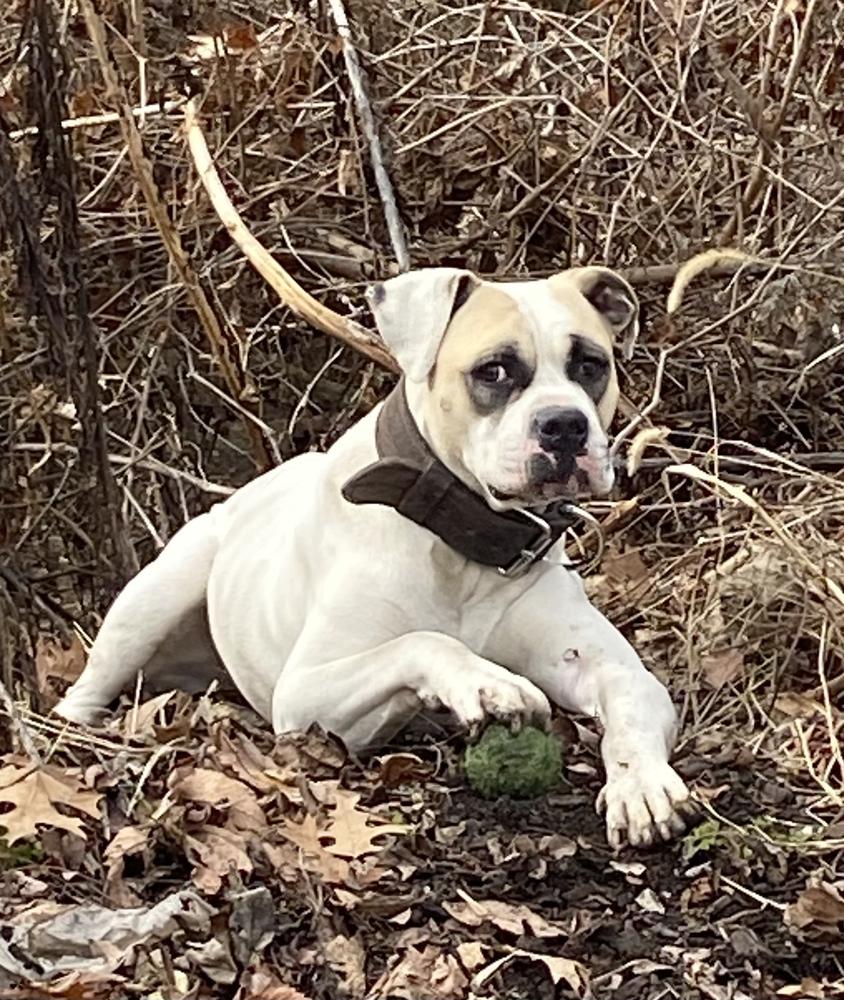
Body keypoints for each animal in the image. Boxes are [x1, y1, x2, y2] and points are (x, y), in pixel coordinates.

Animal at [57, 264, 692, 844]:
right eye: (494, 370)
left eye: (590, 365)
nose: (564, 425)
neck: (462, 542)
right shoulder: (305, 693)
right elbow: (421, 641)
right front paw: (484, 681)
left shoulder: (605, 665)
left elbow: (630, 697)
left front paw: (641, 784)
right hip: (159, 591)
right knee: (89, 686)